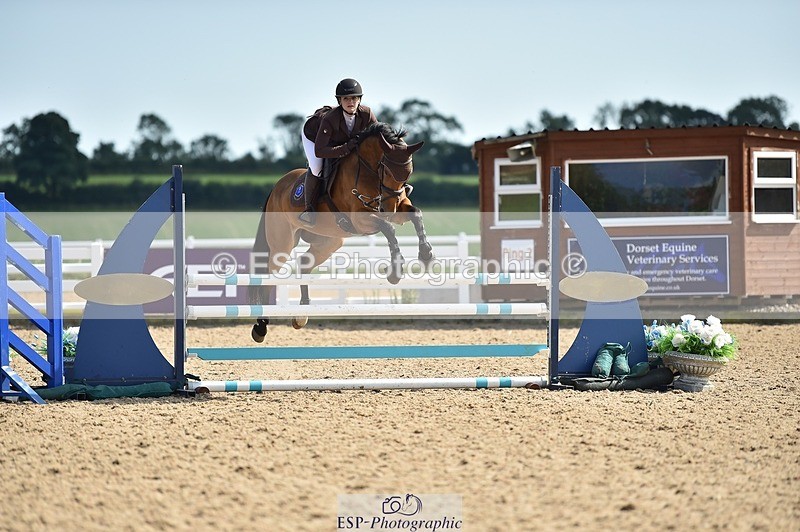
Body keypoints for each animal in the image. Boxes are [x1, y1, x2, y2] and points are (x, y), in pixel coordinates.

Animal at [249, 122, 433, 342]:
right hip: (283, 243)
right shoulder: (360, 220)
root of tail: (277, 186)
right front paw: (395, 271)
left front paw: (426, 255)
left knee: (304, 264)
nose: (390, 209)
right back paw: (261, 327)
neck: (367, 170)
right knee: (269, 276)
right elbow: (388, 228)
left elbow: (416, 214)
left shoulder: (397, 207)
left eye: (408, 174)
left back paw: (301, 315)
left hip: (329, 241)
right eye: (387, 172)